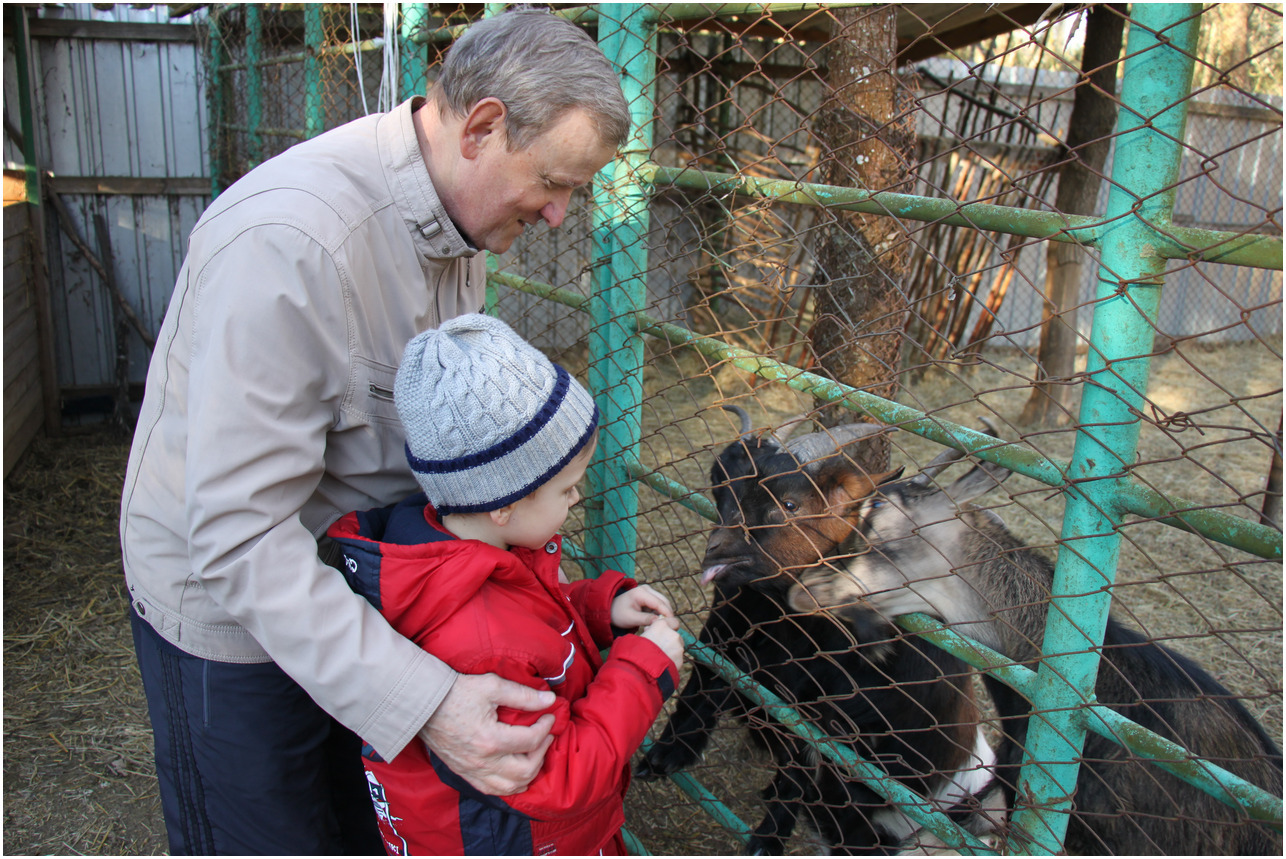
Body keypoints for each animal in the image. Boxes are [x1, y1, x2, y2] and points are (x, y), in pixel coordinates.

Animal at [637, 411, 997, 853]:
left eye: (790, 504)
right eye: (720, 487)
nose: (714, 553)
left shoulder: (832, 715)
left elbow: (802, 765)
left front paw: (767, 839)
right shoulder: (728, 624)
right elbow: (706, 678)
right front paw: (666, 753)